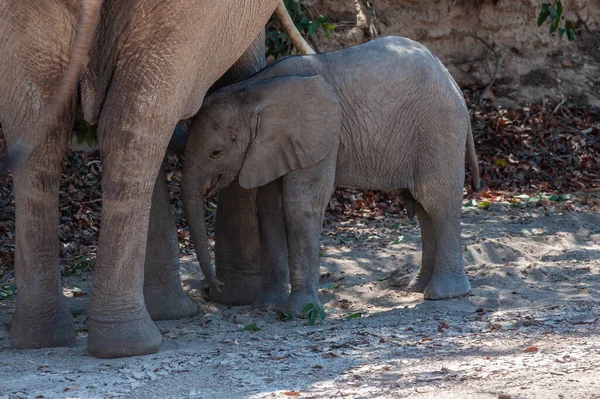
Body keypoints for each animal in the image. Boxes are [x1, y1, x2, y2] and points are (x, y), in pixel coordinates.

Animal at [2, 0, 312, 360]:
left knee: (55, 130)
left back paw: (50, 339)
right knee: (135, 123)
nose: (213, 287)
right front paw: (237, 296)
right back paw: (129, 343)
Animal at [183, 35, 478, 316]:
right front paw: (266, 307)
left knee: (436, 201)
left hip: (439, 128)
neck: (253, 90)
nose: (215, 287)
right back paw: (417, 288)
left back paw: (443, 294)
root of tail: (452, 81)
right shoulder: (270, 148)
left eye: (216, 153)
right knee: (425, 210)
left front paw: (300, 314)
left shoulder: (320, 138)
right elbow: (268, 209)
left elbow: (300, 205)